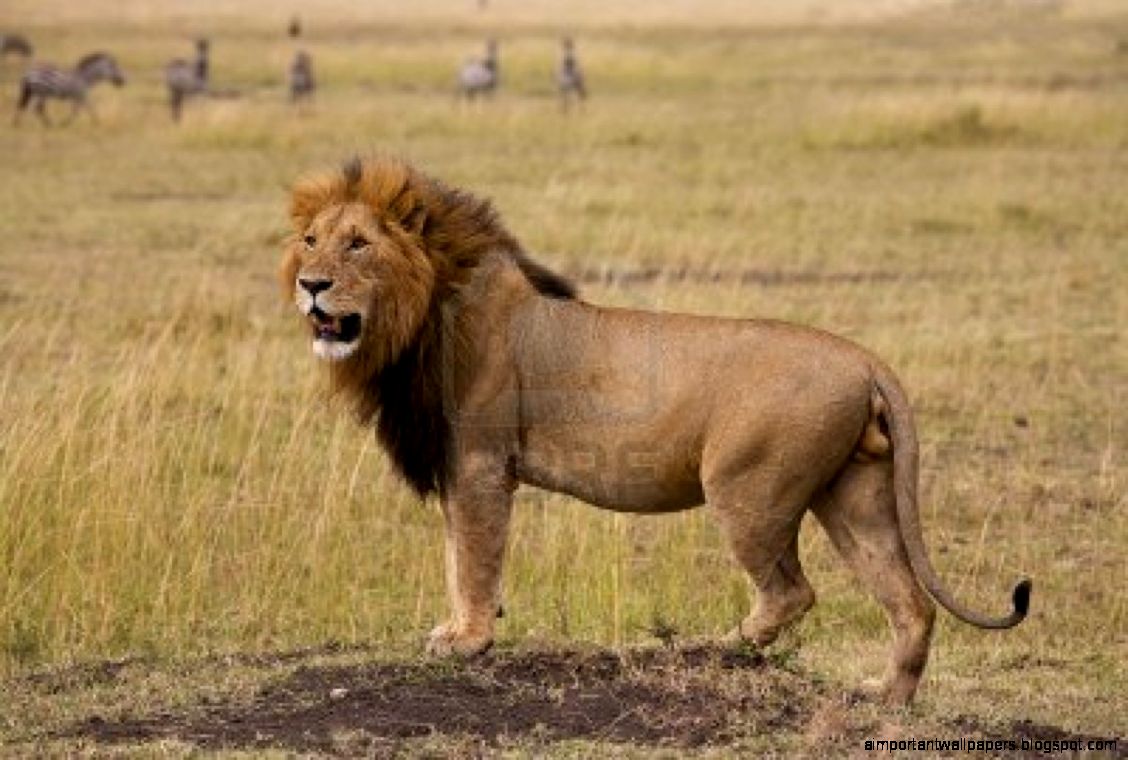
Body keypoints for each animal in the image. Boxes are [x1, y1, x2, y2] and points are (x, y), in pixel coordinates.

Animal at [279, 156, 1031, 705]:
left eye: (358, 244)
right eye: (311, 241)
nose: (311, 285)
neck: (422, 315)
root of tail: (866, 359)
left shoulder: (480, 464)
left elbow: (473, 559)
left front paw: (468, 640)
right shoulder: (458, 466)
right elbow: (455, 555)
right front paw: (459, 630)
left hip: (746, 488)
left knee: (792, 591)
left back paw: (718, 646)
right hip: (856, 494)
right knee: (909, 602)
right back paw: (884, 698)